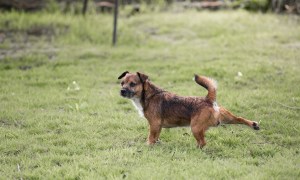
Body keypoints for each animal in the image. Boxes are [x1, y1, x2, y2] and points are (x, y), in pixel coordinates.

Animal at [118, 71, 258, 148]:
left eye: (132, 84)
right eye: (122, 83)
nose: (122, 91)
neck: (148, 95)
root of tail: (208, 100)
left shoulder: (154, 124)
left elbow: (151, 137)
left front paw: (147, 146)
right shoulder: (157, 126)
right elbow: (155, 137)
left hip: (195, 128)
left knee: (203, 142)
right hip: (226, 117)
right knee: (239, 118)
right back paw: (254, 124)